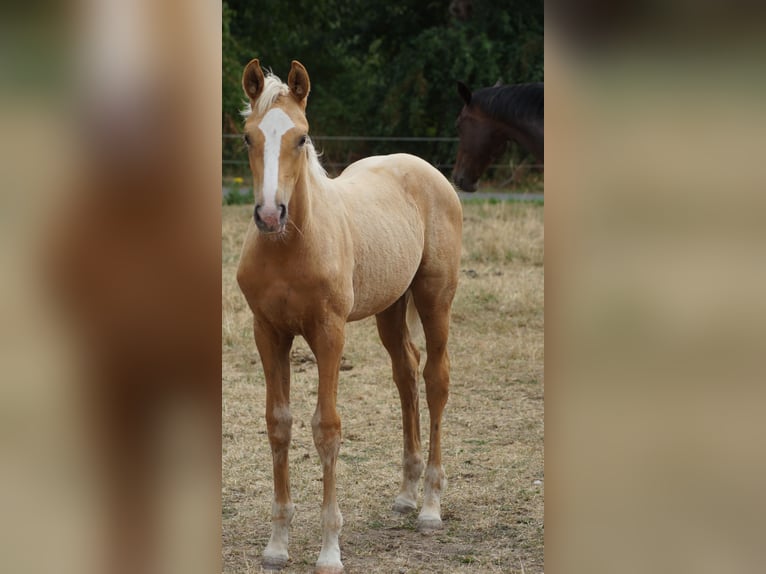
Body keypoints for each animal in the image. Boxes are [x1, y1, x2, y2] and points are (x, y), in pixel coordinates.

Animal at [236, 59, 463, 573]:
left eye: (301, 137)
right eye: (248, 137)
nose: (270, 214)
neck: (292, 247)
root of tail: (426, 169)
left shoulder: (329, 333)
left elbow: (327, 428)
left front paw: (328, 551)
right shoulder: (269, 333)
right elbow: (278, 423)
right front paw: (277, 545)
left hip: (434, 298)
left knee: (435, 380)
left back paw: (430, 506)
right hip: (390, 307)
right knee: (406, 373)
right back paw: (406, 494)